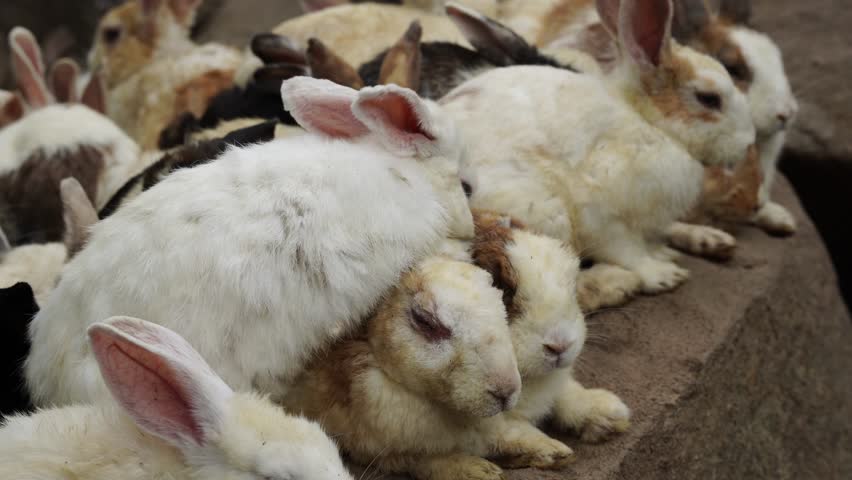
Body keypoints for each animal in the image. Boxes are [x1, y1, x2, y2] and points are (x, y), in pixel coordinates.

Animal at [282, 255, 576, 480]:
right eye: (425, 321)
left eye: (500, 304)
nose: (506, 392)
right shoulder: (384, 451)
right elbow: (427, 461)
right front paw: (478, 470)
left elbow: (509, 433)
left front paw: (553, 450)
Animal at [439, 0, 755, 294]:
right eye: (709, 99)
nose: (749, 139)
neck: (650, 123)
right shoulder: (601, 213)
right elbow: (628, 250)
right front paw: (664, 275)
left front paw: (664, 254)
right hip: (549, 215)